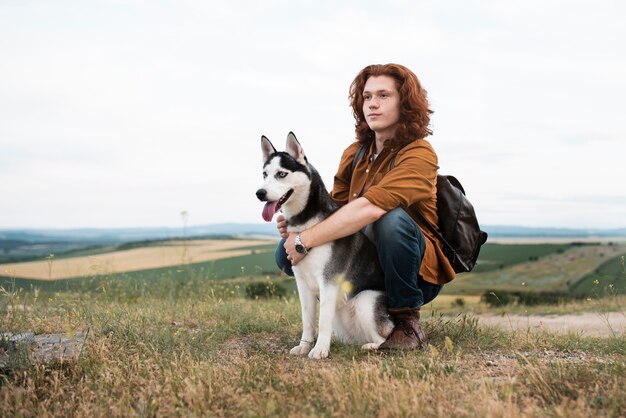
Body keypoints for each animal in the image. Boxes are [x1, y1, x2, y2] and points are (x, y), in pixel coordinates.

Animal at [256, 133, 392, 360]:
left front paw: (319, 350)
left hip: (365, 300)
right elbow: (308, 320)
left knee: (383, 339)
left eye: (281, 174)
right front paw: (304, 346)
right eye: (264, 174)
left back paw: (372, 346)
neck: (306, 223)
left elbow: (322, 321)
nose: (260, 193)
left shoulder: (328, 281)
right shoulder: (302, 283)